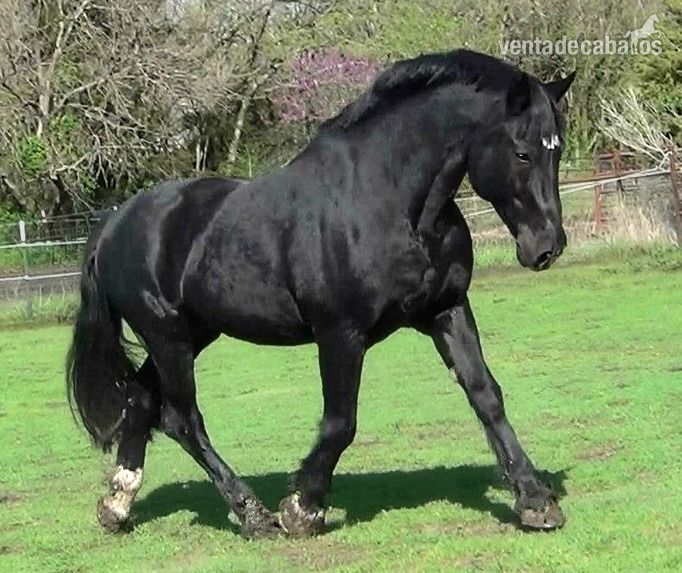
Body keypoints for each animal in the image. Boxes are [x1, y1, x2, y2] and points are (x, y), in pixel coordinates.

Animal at [66, 49, 575, 538]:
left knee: (141, 399)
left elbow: (486, 396)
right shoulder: (340, 333)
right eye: (522, 152)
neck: (389, 200)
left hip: (193, 333)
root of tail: (114, 223)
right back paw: (253, 515)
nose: (546, 247)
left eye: (558, 149)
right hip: (167, 335)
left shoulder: (446, 311)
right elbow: (340, 422)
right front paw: (302, 508)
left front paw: (535, 501)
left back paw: (117, 504)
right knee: (181, 418)